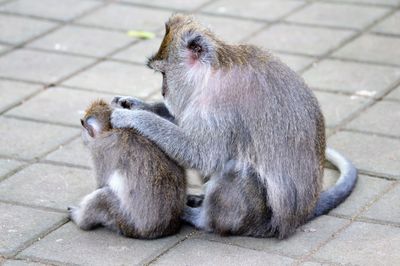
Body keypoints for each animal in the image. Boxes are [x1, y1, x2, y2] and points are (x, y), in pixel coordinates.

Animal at [68, 100, 187, 239]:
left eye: (84, 127)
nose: (82, 136)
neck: (110, 128)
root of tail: (166, 229)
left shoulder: (100, 151)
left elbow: (101, 184)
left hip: (123, 220)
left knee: (101, 197)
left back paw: (80, 220)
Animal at [111, 14, 358, 239]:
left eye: (164, 73)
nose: (163, 92)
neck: (213, 70)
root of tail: (297, 218)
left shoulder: (216, 107)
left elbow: (202, 154)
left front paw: (134, 117)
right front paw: (135, 104)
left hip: (258, 220)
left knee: (235, 167)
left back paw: (201, 219)